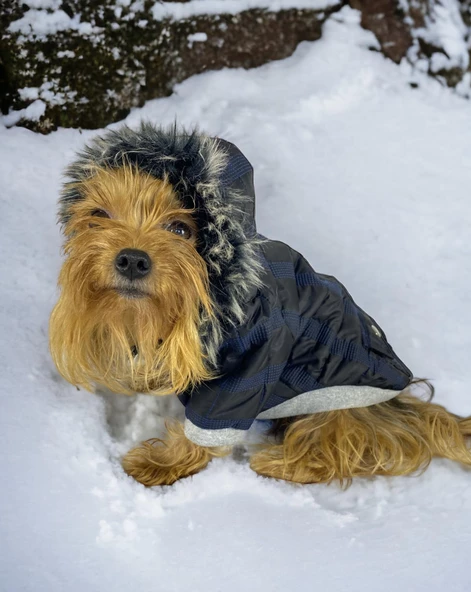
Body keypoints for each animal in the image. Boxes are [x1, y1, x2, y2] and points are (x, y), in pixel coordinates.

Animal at [48, 123, 471, 486]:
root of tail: (400, 397)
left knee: (347, 445)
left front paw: (160, 464)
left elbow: (209, 425)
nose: (132, 259)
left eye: (181, 229)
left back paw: (281, 462)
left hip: (338, 405)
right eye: (99, 216)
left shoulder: (250, 364)